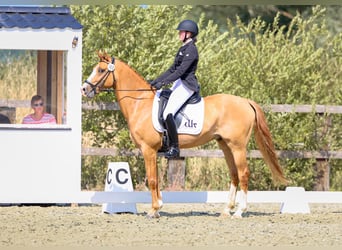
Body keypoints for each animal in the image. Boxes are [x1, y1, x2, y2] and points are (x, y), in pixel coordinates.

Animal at [81, 51, 288, 218]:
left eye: (101, 70)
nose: (84, 89)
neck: (140, 103)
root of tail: (245, 101)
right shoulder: (152, 152)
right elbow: (156, 179)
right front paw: (159, 206)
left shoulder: (148, 150)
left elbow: (152, 180)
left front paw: (153, 210)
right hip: (225, 145)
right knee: (234, 174)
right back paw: (226, 210)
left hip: (237, 146)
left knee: (243, 173)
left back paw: (239, 212)